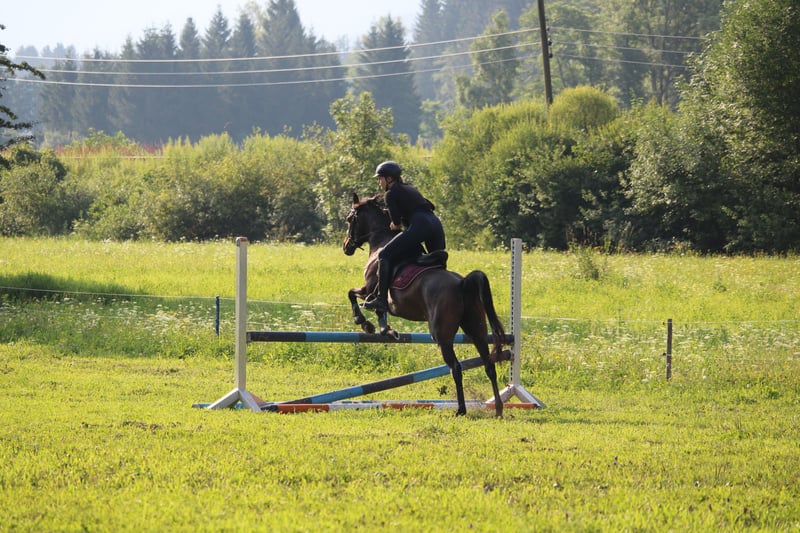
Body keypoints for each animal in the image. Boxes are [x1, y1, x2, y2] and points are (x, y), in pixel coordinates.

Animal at [342, 192, 506, 417]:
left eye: (350, 219)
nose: (346, 246)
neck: (380, 241)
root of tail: (462, 283)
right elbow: (379, 310)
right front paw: (386, 330)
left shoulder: (369, 289)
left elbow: (355, 295)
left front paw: (364, 323)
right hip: (476, 330)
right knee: (489, 365)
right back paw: (498, 409)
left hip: (442, 336)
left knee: (456, 368)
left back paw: (461, 410)